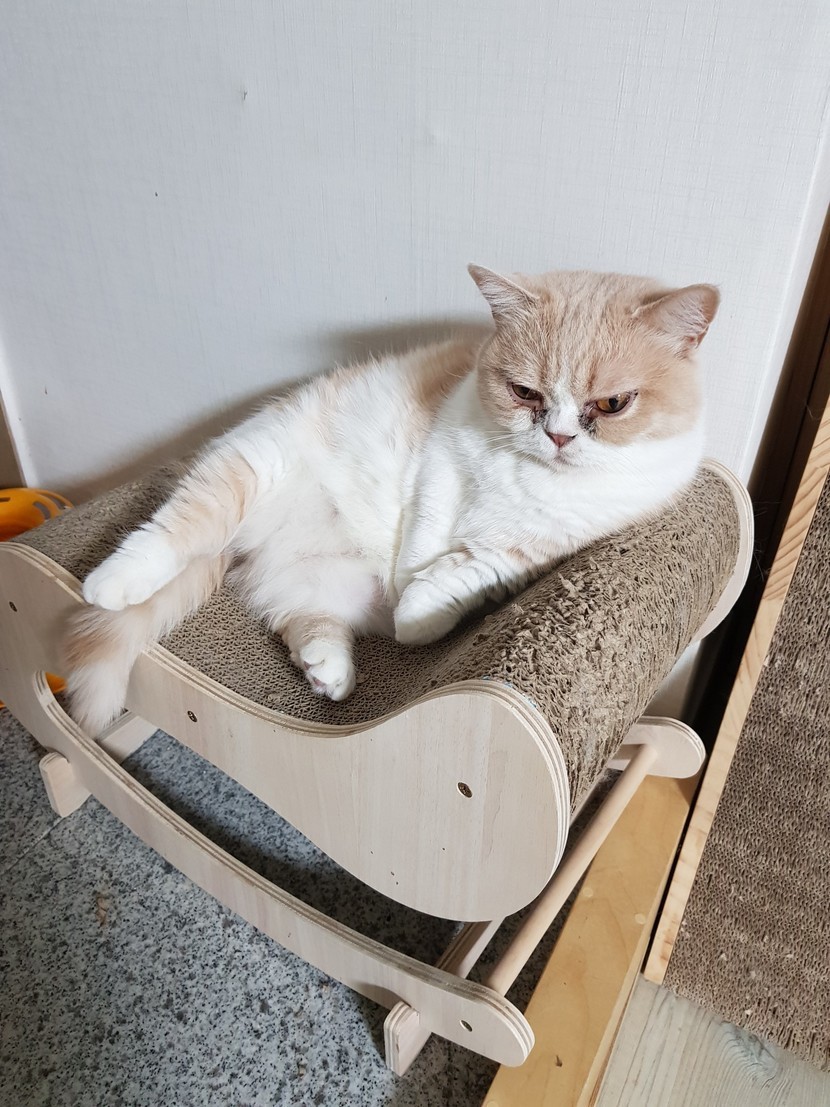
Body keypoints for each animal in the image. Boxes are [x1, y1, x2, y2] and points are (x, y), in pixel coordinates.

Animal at [65, 264, 718, 734]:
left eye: (612, 405)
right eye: (524, 392)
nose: (558, 436)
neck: (531, 474)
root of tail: (253, 545)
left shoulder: (532, 552)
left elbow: (466, 571)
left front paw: (417, 618)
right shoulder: (440, 467)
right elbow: (426, 533)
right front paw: (410, 591)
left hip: (316, 585)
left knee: (301, 619)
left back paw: (328, 671)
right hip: (253, 466)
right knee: (174, 529)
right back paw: (116, 579)